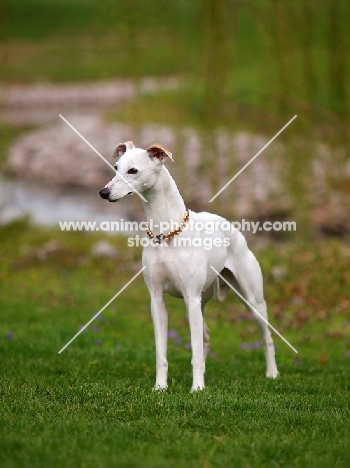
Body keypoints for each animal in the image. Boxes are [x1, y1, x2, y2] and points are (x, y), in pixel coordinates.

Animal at [99, 141, 278, 390]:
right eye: (115, 167)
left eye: (132, 170)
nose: (103, 193)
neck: (165, 232)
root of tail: (231, 227)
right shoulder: (157, 300)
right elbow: (162, 353)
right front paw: (160, 387)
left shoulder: (190, 298)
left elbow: (194, 352)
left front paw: (197, 388)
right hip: (203, 302)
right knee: (205, 336)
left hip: (252, 300)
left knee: (266, 337)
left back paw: (272, 373)